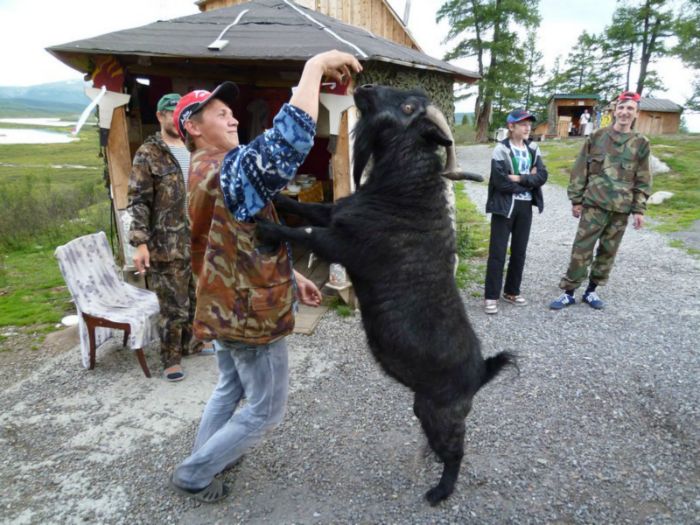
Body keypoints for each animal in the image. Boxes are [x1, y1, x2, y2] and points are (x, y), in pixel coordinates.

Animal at [258, 85, 516, 504]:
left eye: (409, 107)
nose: (363, 89)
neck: (404, 192)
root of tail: (481, 373)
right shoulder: (335, 216)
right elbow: (311, 208)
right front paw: (279, 199)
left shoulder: (344, 244)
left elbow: (304, 233)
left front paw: (265, 227)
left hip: (439, 414)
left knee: (457, 451)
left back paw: (439, 491)